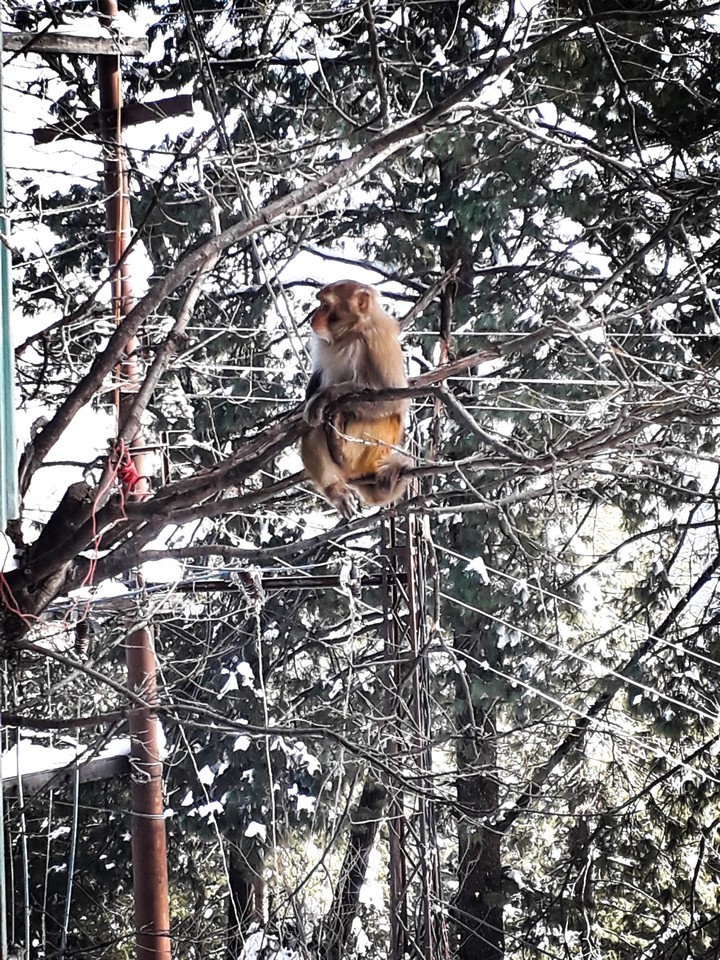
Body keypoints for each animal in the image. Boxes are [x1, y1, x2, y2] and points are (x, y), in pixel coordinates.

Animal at [300, 280, 411, 518]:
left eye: (325, 305)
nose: (315, 316)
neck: (350, 334)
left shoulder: (377, 341)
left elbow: (394, 400)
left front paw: (325, 397)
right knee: (312, 428)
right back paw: (335, 487)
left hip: (371, 451)